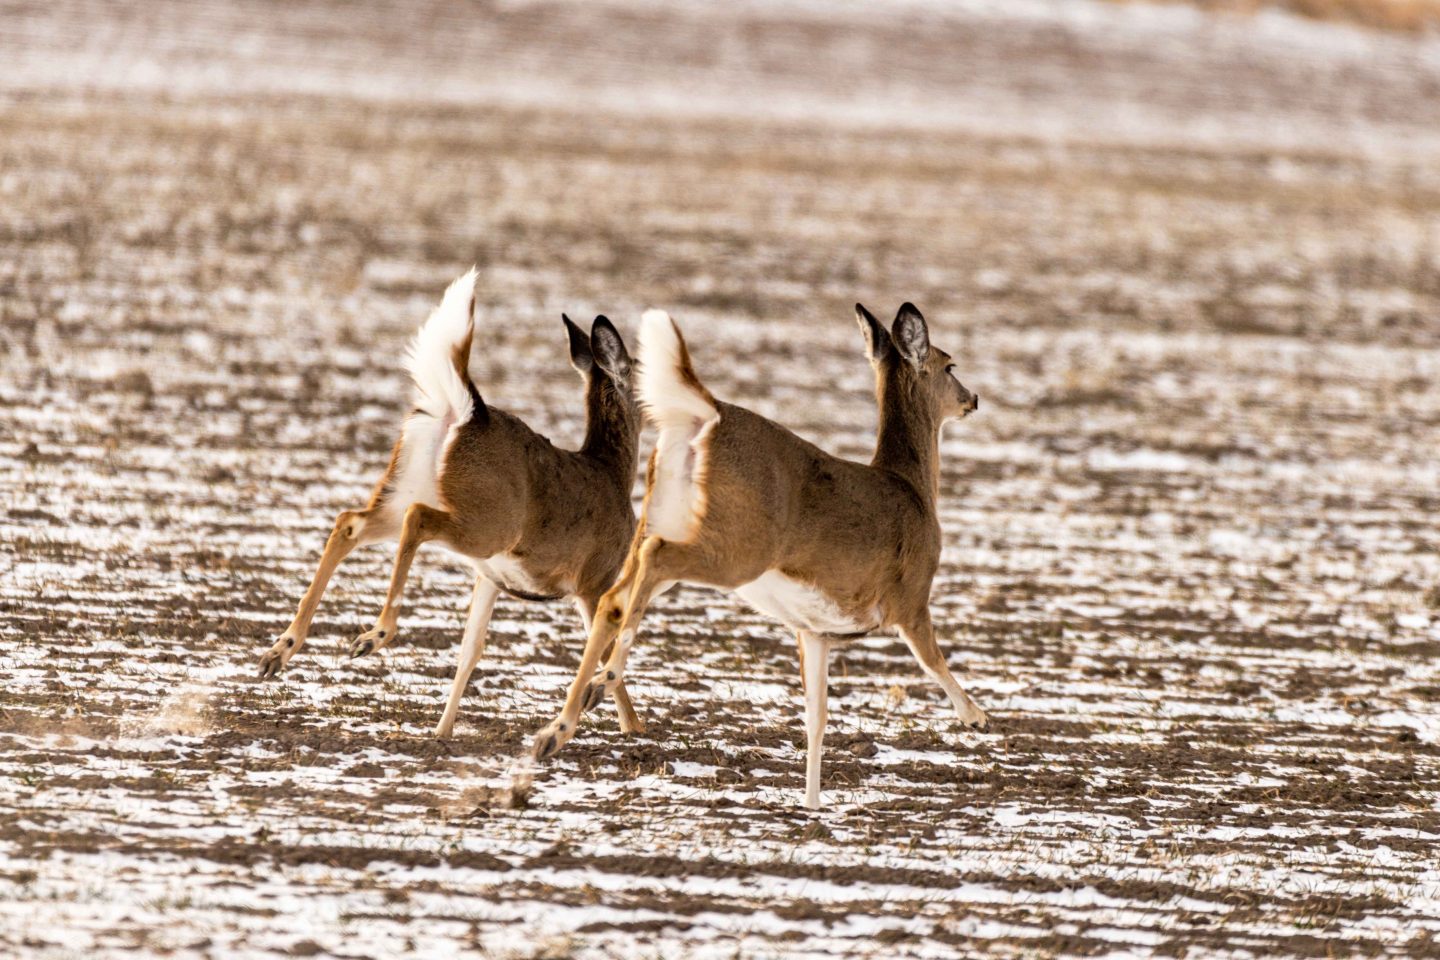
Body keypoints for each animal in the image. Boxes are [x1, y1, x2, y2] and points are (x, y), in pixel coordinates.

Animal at [256, 266, 645, 742]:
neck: (612, 472)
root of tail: (464, 413)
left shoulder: (492, 576)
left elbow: (470, 648)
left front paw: (442, 731)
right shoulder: (594, 579)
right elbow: (603, 647)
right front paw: (632, 726)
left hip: (406, 488)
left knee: (350, 521)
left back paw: (279, 652)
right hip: (486, 522)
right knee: (417, 520)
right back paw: (372, 636)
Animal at [529, 302, 990, 811]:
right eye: (949, 364)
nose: (973, 398)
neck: (913, 490)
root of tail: (704, 416)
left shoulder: (814, 630)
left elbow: (816, 719)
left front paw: (811, 806)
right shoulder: (911, 596)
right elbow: (933, 659)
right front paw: (977, 716)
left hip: (660, 520)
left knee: (615, 595)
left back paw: (554, 731)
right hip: (738, 548)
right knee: (653, 563)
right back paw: (599, 685)